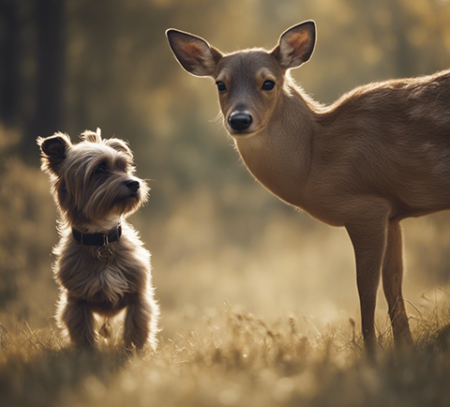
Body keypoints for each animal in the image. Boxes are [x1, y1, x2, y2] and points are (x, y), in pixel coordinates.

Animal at [37, 128, 159, 350]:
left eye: (124, 167)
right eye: (100, 168)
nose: (134, 183)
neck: (101, 238)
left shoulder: (138, 294)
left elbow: (137, 327)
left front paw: (135, 353)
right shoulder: (77, 301)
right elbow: (82, 331)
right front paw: (86, 354)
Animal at [167, 20, 450, 350]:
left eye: (268, 82)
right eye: (220, 84)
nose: (239, 120)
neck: (314, 162)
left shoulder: (365, 208)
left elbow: (365, 288)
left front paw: (370, 351)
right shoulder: (391, 212)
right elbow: (394, 283)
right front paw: (403, 348)